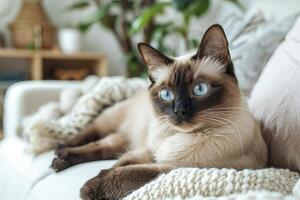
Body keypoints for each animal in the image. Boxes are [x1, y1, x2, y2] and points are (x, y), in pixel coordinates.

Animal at [51, 24, 268, 200]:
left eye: (200, 89)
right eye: (166, 94)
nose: (179, 111)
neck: (180, 137)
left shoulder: (172, 168)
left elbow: (129, 172)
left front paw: (89, 189)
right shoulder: (148, 151)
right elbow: (121, 165)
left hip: (122, 141)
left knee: (101, 148)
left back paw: (60, 160)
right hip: (112, 127)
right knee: (91, 137)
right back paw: (60, 153)